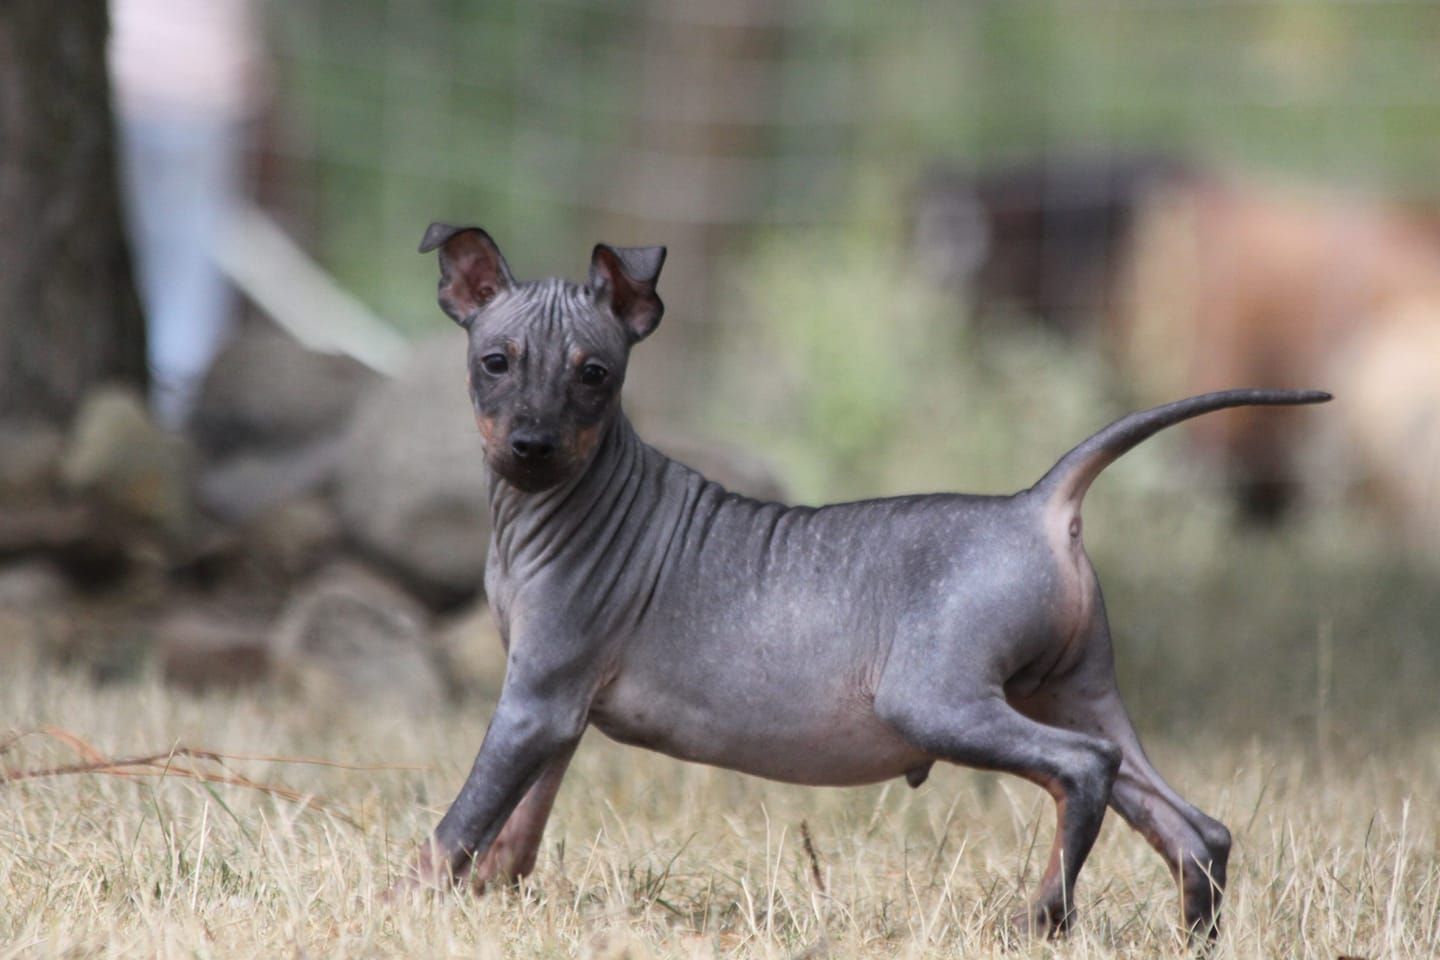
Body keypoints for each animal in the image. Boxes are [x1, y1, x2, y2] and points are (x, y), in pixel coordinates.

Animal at [403, 221, 1324, 944]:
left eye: (593, 374)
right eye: (495, 363)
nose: (530, 445)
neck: (544, 513)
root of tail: (1040, 502)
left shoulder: (537, 702)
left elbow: (456, 827)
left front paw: (410, 902)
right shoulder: (558, 712)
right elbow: (516, 829)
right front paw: (492, 905)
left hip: (939, 700)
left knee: (1085, 771)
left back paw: (1042, 919)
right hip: (1074, 690)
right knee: (1197, 829)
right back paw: (1188, 939)